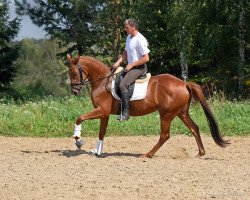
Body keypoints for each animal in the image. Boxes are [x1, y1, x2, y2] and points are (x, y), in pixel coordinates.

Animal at [66, 54, 229, 158]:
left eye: (74, 73)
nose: (74, 91)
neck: (102, 82)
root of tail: (184, 83)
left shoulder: (101, 111)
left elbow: (79, 118)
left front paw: (79, 141)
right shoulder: (104, 114)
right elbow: (101, 132)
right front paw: (97, 151)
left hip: (166, 115)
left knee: (165, 135)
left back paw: (148, 154)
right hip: (181, 113)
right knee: (194, 128)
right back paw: (200, 153)